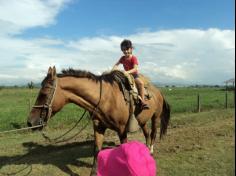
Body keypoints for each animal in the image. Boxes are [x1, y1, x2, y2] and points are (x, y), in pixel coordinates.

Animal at [27, 66, 170, 175]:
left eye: (44, 93)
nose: (30, 122)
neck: (106, 98)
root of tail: (158, 91)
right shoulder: (99, 127)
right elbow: (97, 150)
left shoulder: (122, 130)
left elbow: (123, 151)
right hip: (143, 120)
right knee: (147, 133)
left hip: (156, 117)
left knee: (153, 133)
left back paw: (150, 152)